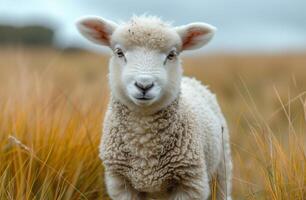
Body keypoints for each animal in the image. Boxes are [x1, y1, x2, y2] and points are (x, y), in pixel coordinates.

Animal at [76, 14, 232, 199]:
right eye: (119, 52)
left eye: (171, 55)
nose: (144, 85)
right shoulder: (120, 183)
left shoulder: (190, 183)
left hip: (222, 168)